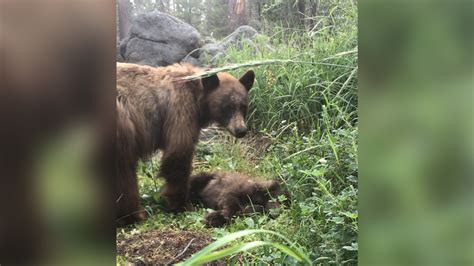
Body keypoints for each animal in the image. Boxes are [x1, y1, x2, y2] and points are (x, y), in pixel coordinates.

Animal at [116, 62, 254, 227]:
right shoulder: (180, 110)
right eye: (227, 107)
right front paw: (182, 205)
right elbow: (178, 155)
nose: (241, 130)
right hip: (123, 126)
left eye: (243, 106)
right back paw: (133, 215)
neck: (197, 95)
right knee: (124, 171)